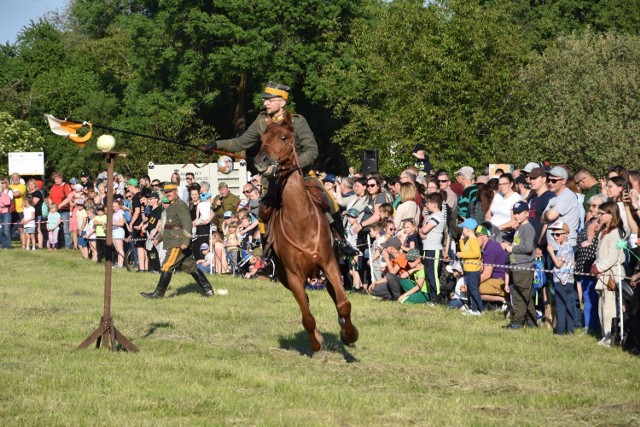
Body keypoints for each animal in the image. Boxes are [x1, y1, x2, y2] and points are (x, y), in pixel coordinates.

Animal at [252, 118, 358, 360]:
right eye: (262, 139)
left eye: (284, 137)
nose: (261, 161)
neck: (300, 220)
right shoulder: (293, 277)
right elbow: (307, 317)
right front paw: (317, 347)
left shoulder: (329, 263)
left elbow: (344, 304)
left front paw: (350, 335)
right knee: (307, 304)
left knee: (335, 295)